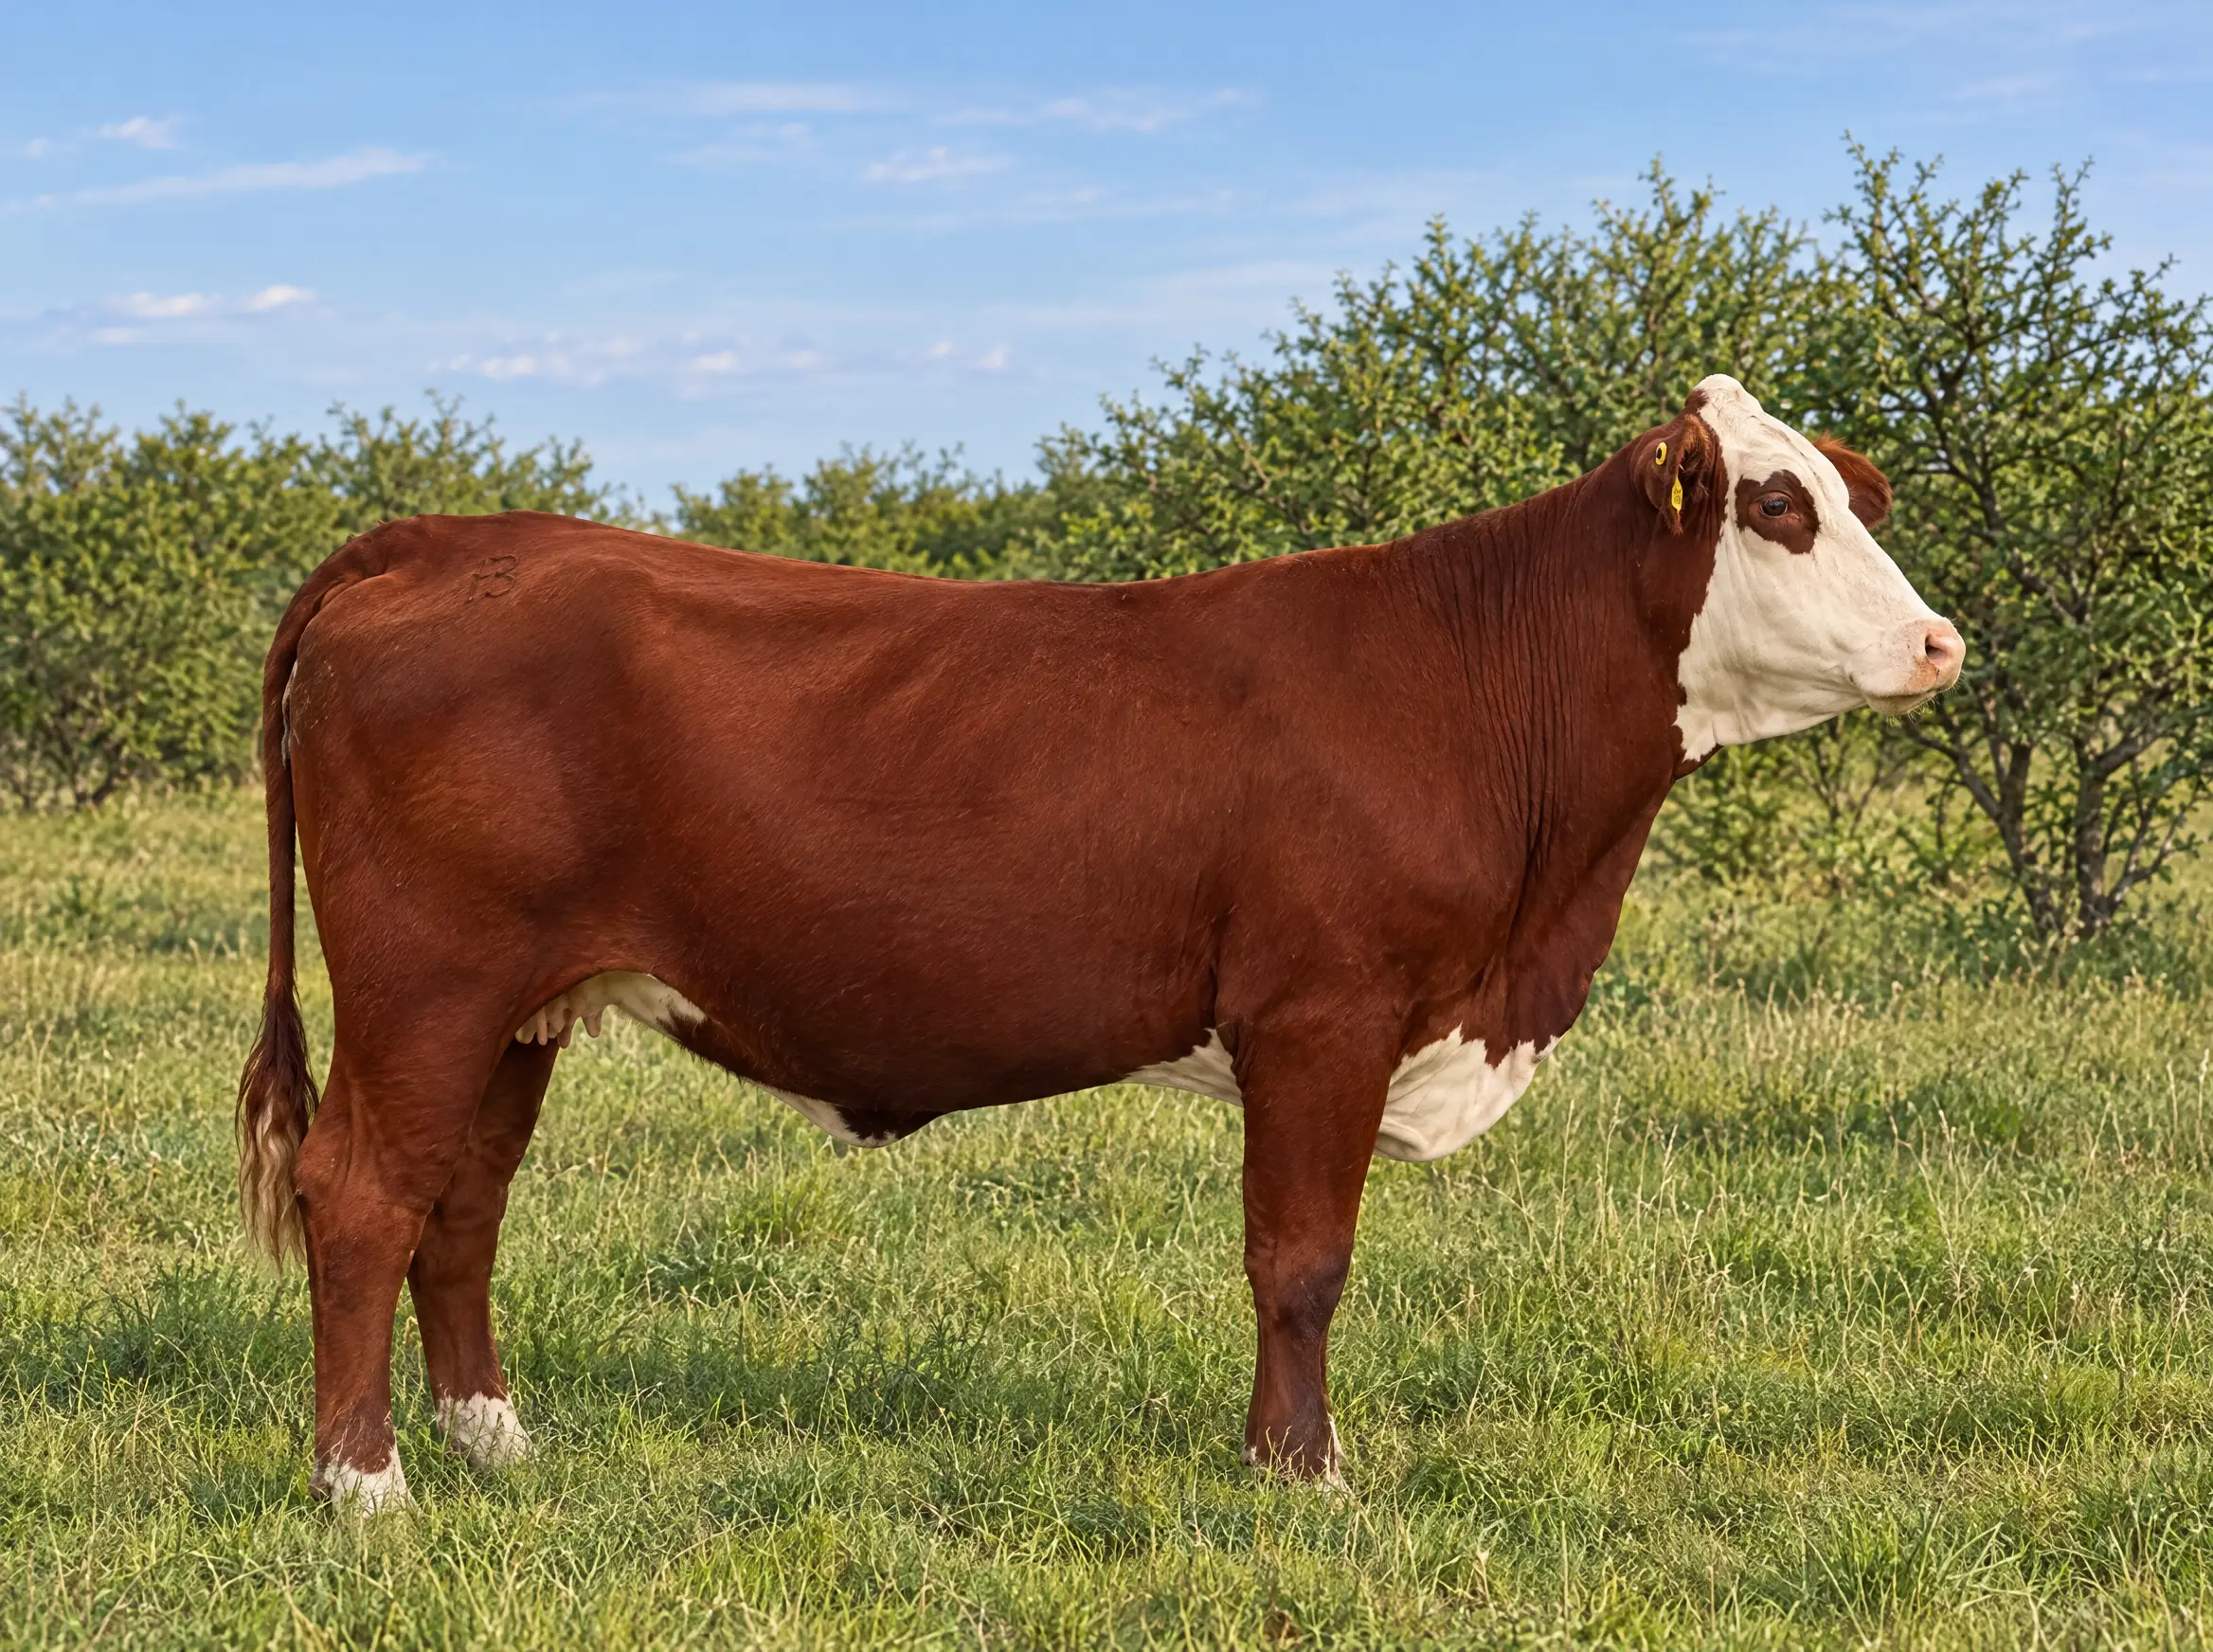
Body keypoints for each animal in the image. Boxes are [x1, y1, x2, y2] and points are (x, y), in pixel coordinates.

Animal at [237, 375, 1961, 1512]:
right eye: (1778, 506)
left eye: (1847, 496)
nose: (1939, 641)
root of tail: (439, 539)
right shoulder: (1322, 1010)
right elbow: (1300, 1260)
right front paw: (1303, 1474)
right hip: (427, 981)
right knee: (366, 1192)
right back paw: (363, 1486)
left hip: (523, 1002)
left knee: (461, 1203)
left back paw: (490, 1438)